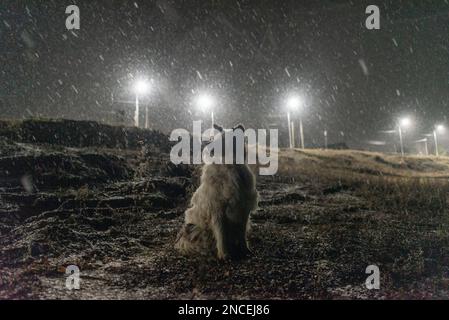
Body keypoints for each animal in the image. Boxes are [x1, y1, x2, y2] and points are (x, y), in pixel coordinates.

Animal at [175, 124, 260, 258]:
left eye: (228, 139)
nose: (208, 149)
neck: (230, 167)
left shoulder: (243, 209)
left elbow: (242, 234)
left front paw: (245, 250)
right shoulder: (217, 210)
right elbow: (221, 234)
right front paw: (224, 254)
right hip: (193, 227)